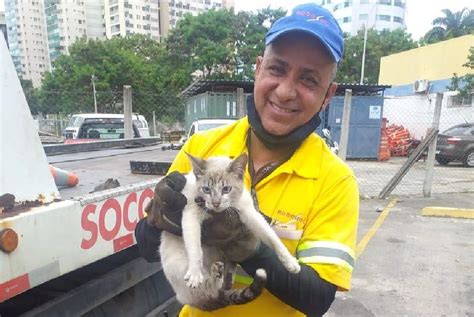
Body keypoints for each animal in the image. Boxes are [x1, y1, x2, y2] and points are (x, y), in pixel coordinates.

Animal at [159, 152, 300, 310]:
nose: (215, 203)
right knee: (211, 290)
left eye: (226, 189)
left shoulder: (249, 213)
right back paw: (215, 275)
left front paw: (290, 262)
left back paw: (221, 274)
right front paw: (195, 273)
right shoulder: (191, 214)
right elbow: (195, 249)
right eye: (206, 189)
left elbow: (272, 238)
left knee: (222, 287)